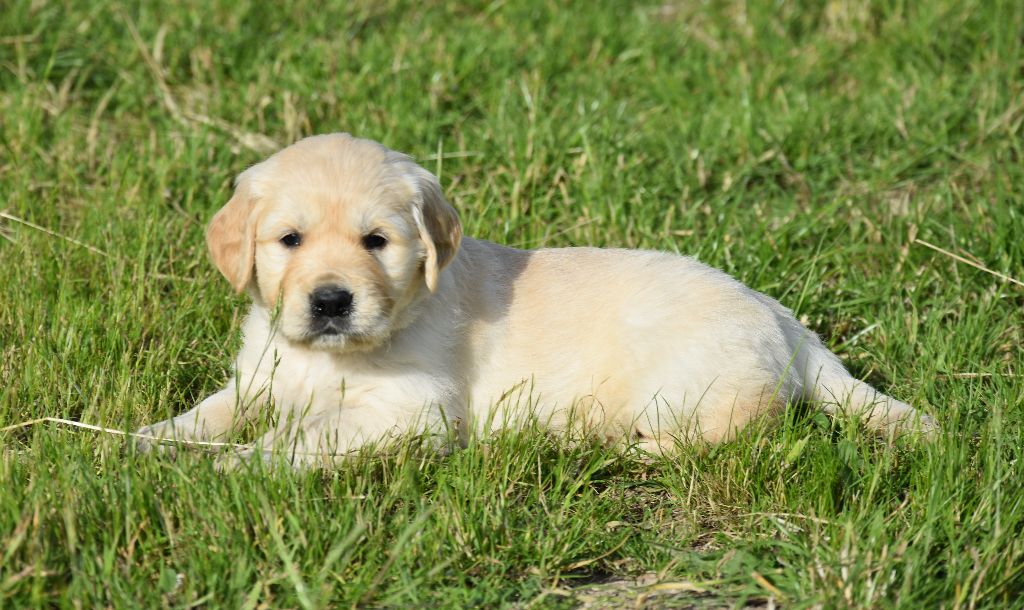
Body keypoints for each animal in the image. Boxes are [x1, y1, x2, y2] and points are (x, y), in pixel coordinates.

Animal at [136, 135, 937, 466]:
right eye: (289, 240)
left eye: (377, 242)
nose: (331, 301)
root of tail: (784, 319)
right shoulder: (260, 377)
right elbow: (213, 412)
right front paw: (149, 443)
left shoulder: (412, 412)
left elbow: (306, 437)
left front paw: (239, 471)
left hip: (679, 383)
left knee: (744, 427)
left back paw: (616, 446)